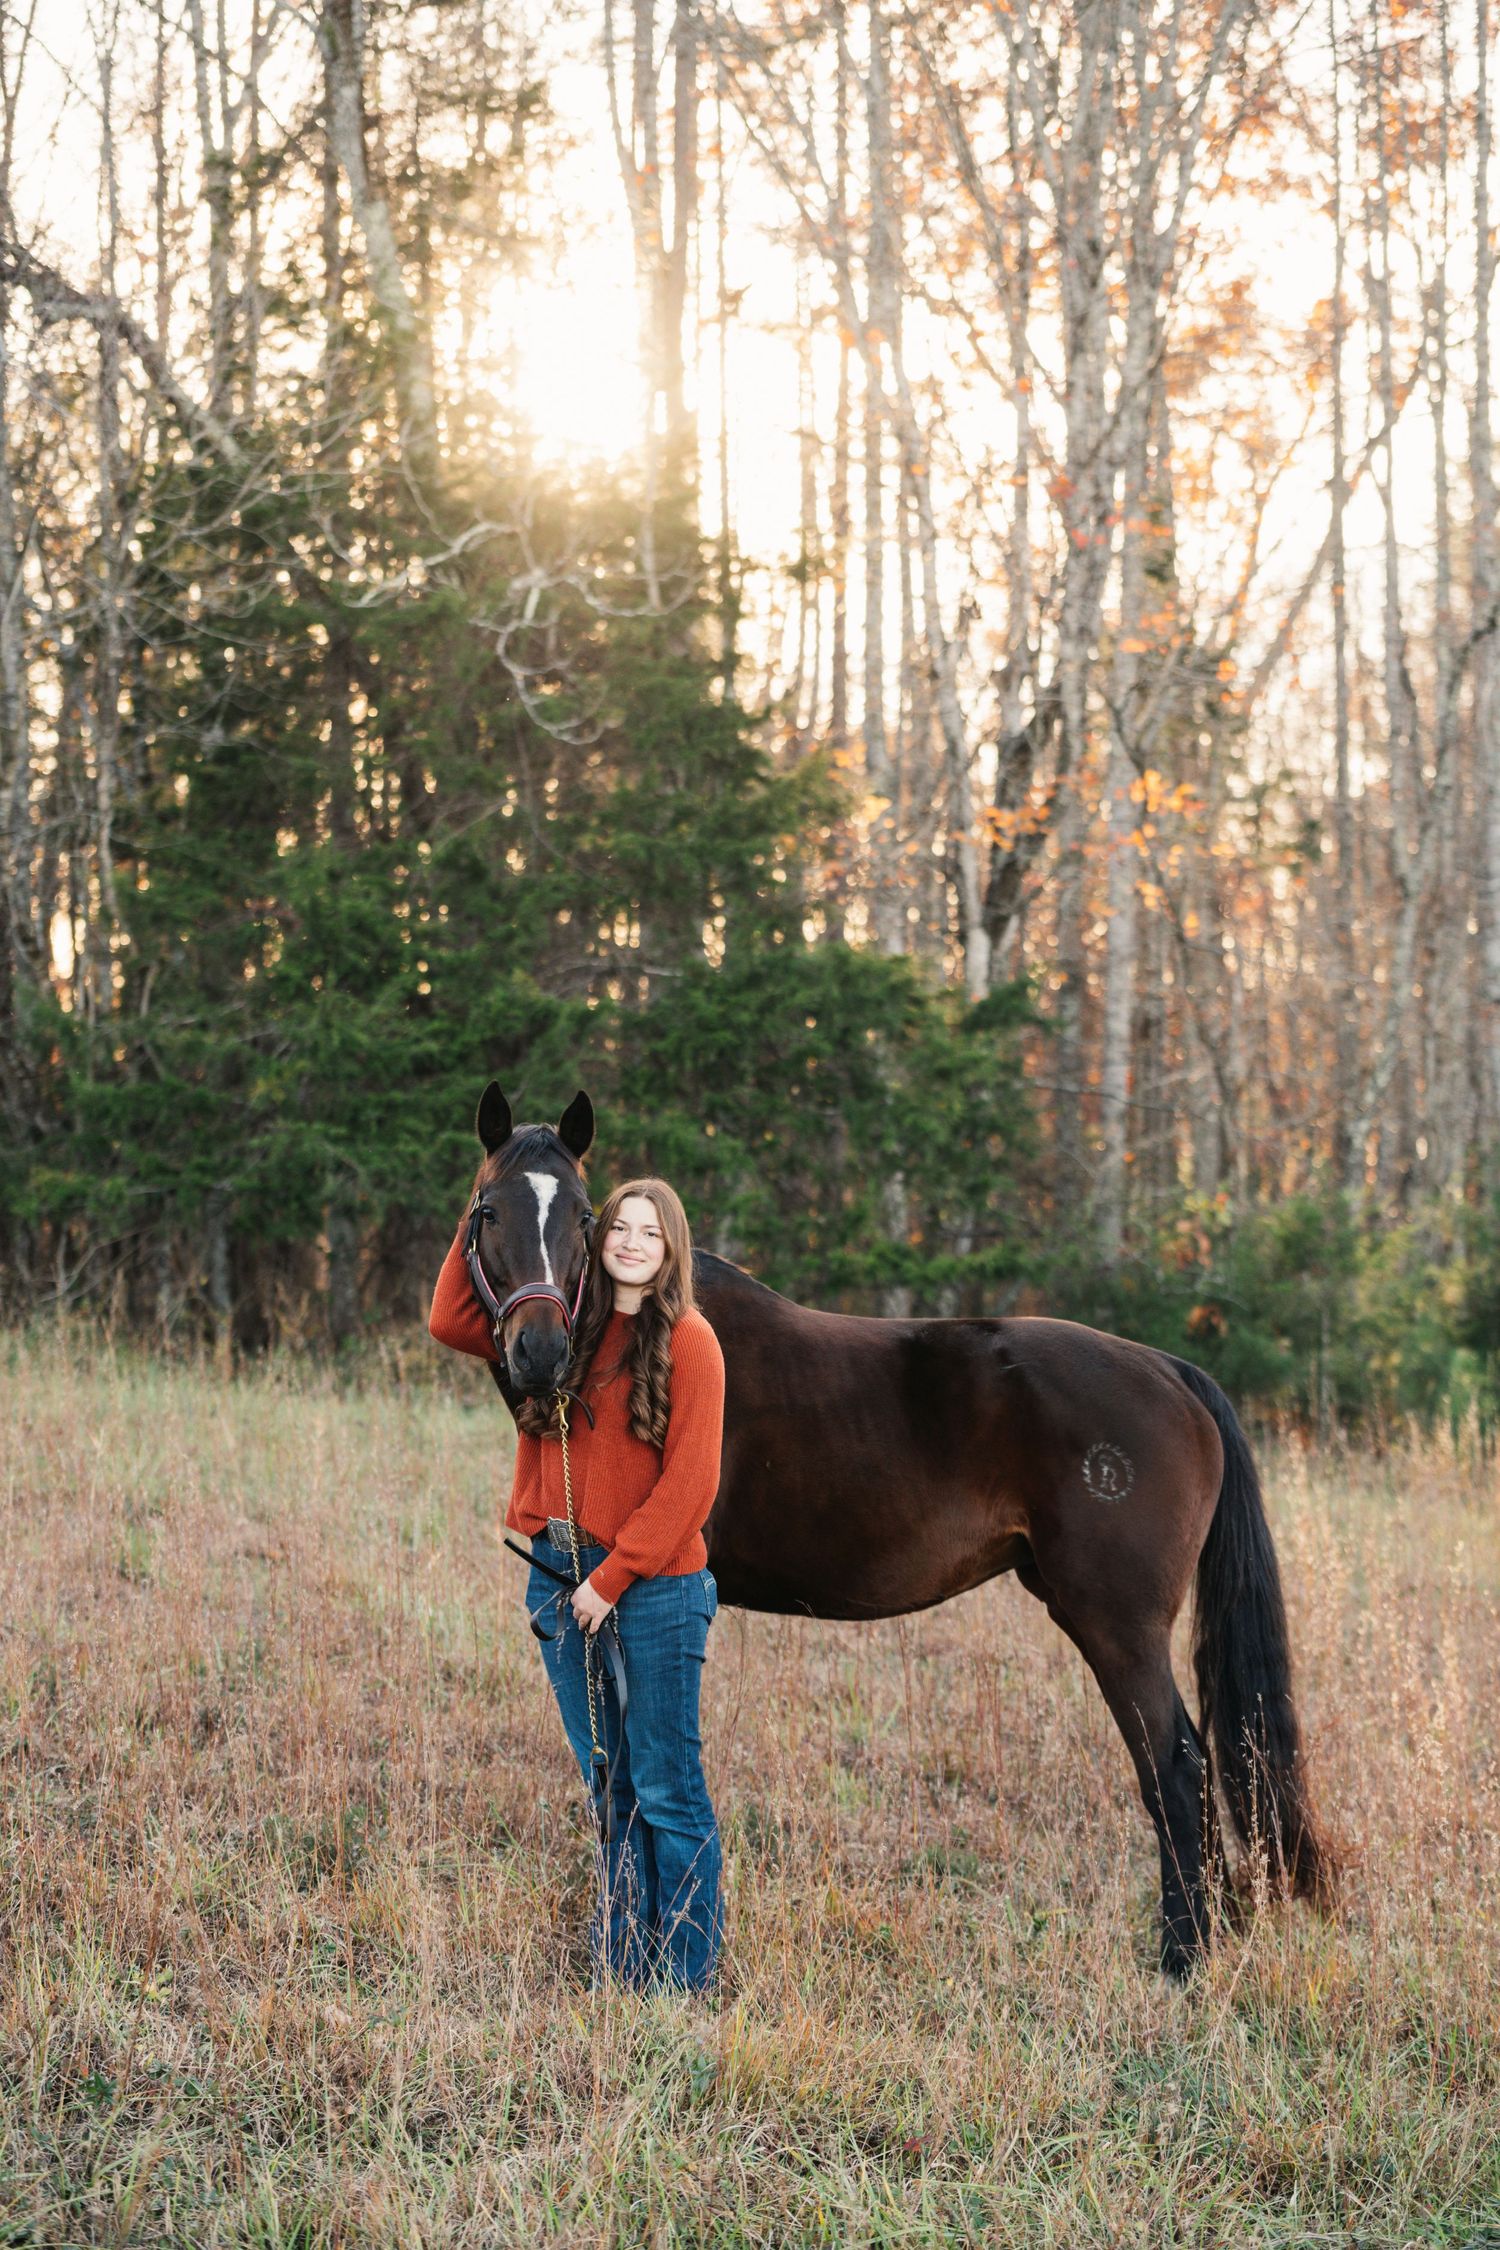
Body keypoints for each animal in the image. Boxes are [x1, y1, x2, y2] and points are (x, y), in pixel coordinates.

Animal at [463, 1082, 1331, 1978]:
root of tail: (1173, 1371)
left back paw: (1181, 1958)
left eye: (582, 1218)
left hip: (1118, 1629)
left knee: (1176, 1770)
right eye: (489, 1211)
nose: (540, 1352)